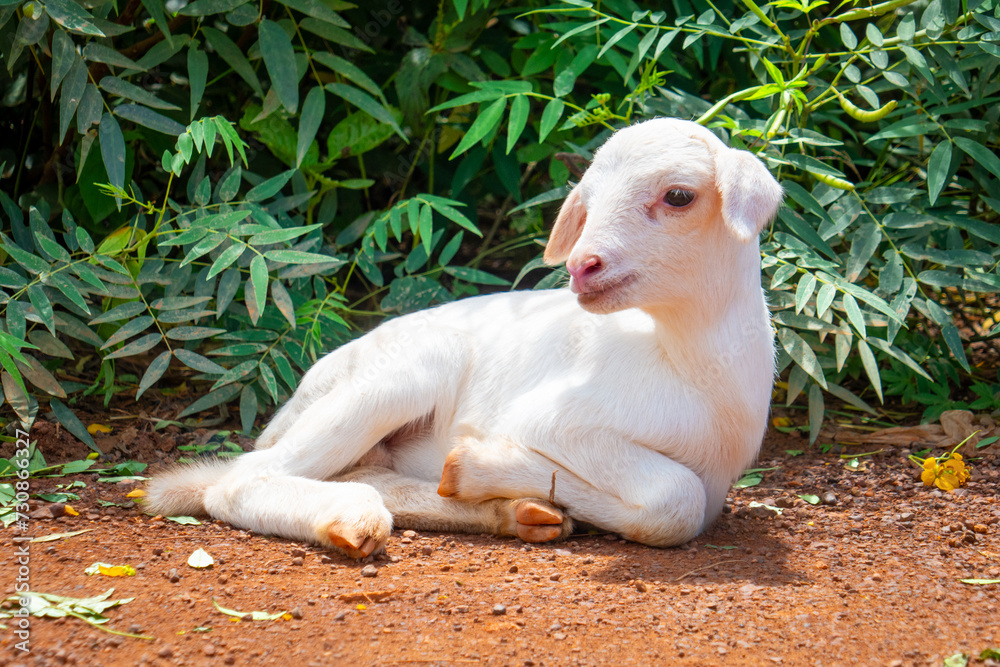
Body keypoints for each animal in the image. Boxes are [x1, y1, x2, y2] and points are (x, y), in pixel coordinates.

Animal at [146, 118, 780, 560]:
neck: (691, 365)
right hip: (400, 374)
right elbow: (674, 501)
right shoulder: (553, 419)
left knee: (368, 475)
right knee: (238, 483)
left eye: (679, 196)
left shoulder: (719, 477)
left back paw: (515, 514)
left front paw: (487, 480)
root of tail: (295, 399)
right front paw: (481, 464)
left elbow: (682, 504)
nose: (582, 266)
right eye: (588, 202)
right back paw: (357, 516)